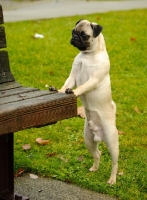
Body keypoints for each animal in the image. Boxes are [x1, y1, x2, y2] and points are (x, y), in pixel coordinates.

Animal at [58, 19, 119, 184]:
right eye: (73, 31)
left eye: (84, 35)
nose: (74, 37)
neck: (88, 55)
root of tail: (99, 135)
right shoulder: (72, 76)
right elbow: (66, 84)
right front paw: (58, 91)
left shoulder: (93, 79)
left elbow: (82, 87)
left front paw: (73, 92)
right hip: (88, 140)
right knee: (97, 154)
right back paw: (94, 168)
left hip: (112, 142)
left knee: (114, 163)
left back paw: (112, 180)